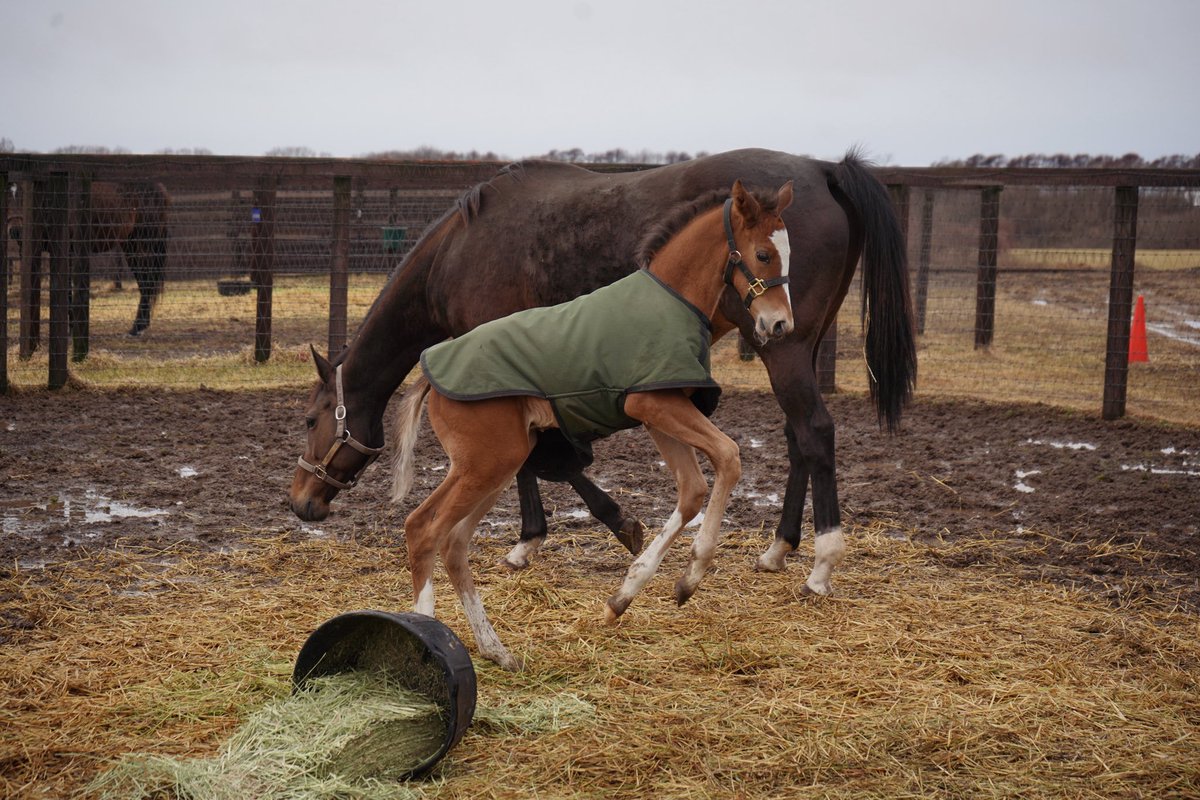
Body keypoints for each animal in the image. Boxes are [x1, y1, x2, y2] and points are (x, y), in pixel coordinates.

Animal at [6, 181, 169, 337]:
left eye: (24, 197)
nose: (15, 230)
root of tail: (160, 191)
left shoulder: (68, 253)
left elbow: (67, 289)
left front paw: (71, 329)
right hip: (130, 247)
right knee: (144, 283)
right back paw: (140, 326)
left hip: (144, 246)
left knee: (148, 283)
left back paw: (137, 328)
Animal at [288, 147, 916, 602]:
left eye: (313, 419)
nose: (301, 503)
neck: (459, 251)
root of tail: (823, 169)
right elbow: (546, 458)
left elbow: (548, 463)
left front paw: (561, 535)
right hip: (791, 340)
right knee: (796, 436)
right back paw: (779, 549)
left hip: (782, 343)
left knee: (814, 430)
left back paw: (821, 564)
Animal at [379, 180, 794, 669]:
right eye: (764, 254)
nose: (781, 324)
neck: (673, 298)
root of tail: (430, 373)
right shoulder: (653, 403)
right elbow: (729, 456)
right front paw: (689, 578)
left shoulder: (660, 411)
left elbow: (692, 489)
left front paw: (624, 597)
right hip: (484, 464)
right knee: (423, 529)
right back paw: (427, 641)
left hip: (498, 464)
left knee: (454, 543)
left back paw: (496, 649)